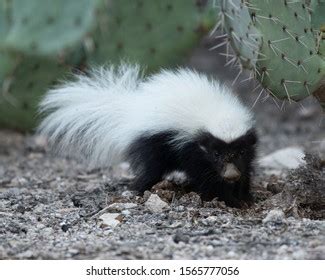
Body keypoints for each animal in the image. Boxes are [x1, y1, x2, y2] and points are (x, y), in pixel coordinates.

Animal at [38, 64, 256, 208]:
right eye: (216, 154)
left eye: (241, 151)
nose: (231, 174)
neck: (216, 113)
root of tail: (132, 109)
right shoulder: (191, 148)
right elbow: (207, 177)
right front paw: (231, 200)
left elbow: (246, 170)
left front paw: (244, 195)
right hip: (151, 145)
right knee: (150, 170)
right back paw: (141, 189)